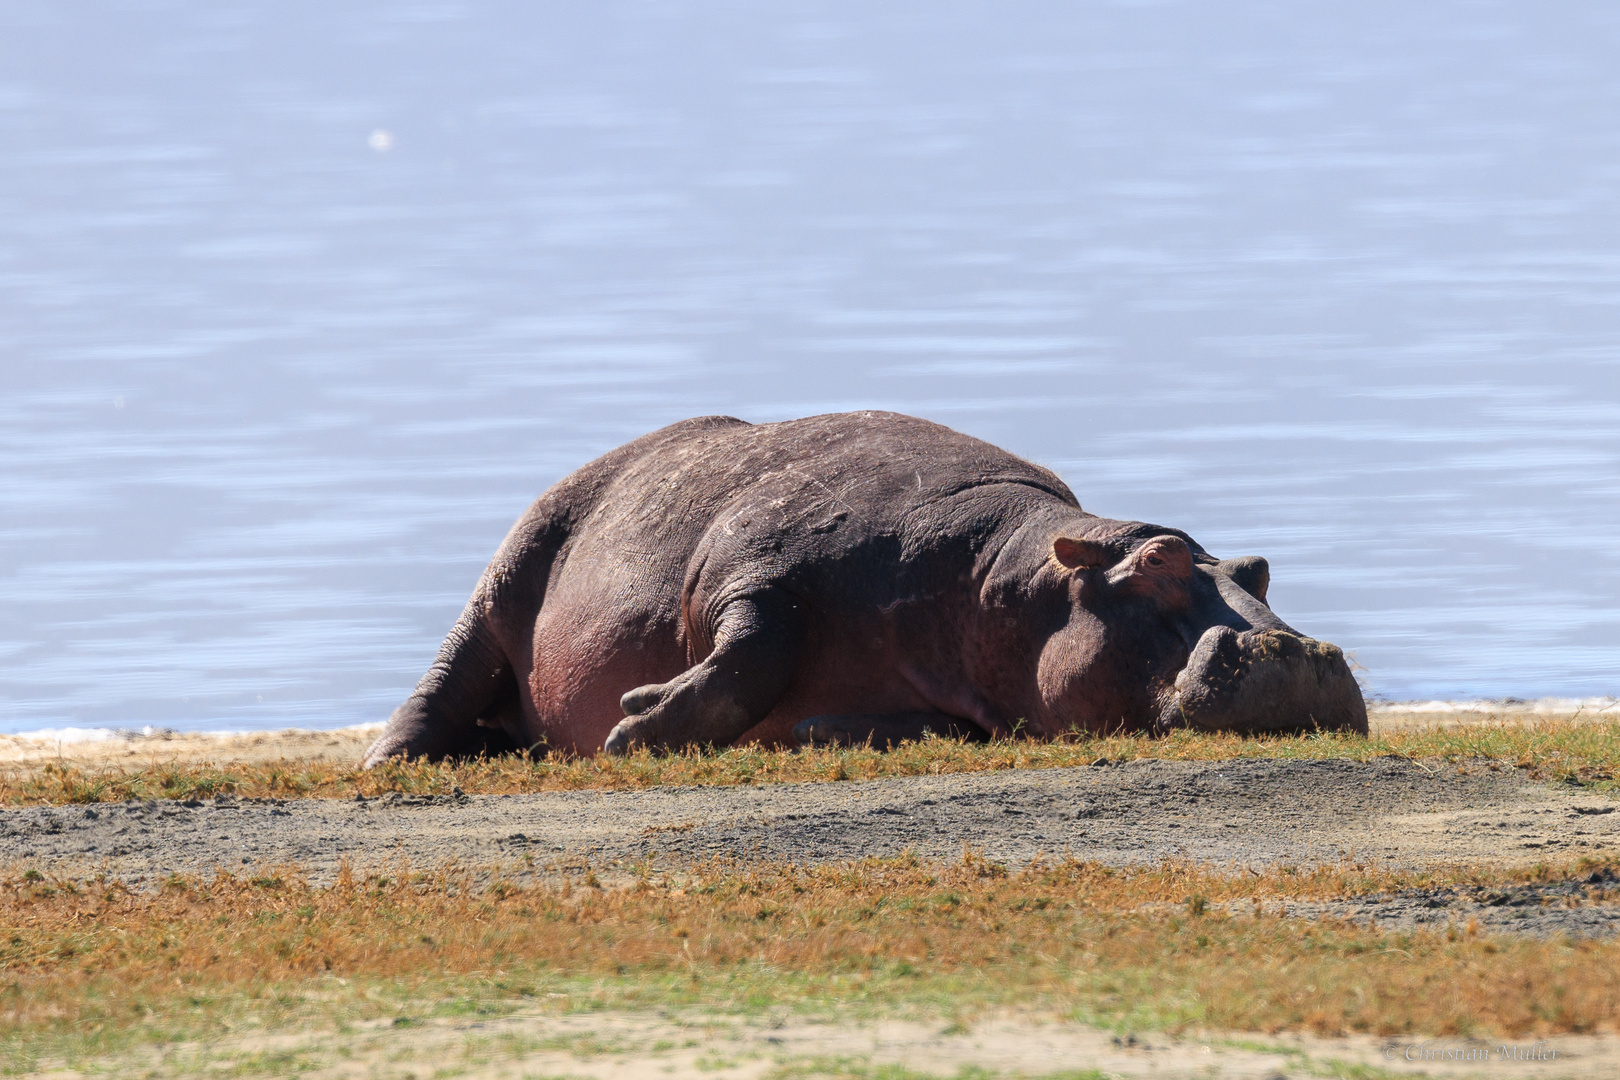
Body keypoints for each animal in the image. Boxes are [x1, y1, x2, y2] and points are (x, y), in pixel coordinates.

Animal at [361, 409, 1360, 764]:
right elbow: (747, 655)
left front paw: (820, 729)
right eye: (1155, 565)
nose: (1297, 650)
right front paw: (634, 723)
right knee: (443, 678)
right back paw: (397, 760)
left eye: (1257, 568)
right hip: (507, 574)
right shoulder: (756, 574)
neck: (1007, 582)